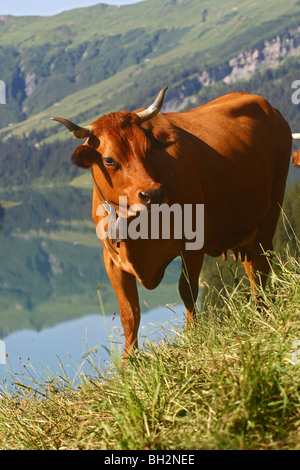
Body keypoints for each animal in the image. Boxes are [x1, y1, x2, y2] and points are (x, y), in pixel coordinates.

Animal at [51, 88, 292, 354]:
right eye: (109, 160)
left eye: (148, 150)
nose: (153, 193)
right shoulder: (111, 260)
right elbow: (129, 313)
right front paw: (129, 359)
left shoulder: (192, 244)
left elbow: (188, 292)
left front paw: (192, 335)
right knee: (252, 268)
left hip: (272, 207)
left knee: (260, 266)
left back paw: (262, 311)